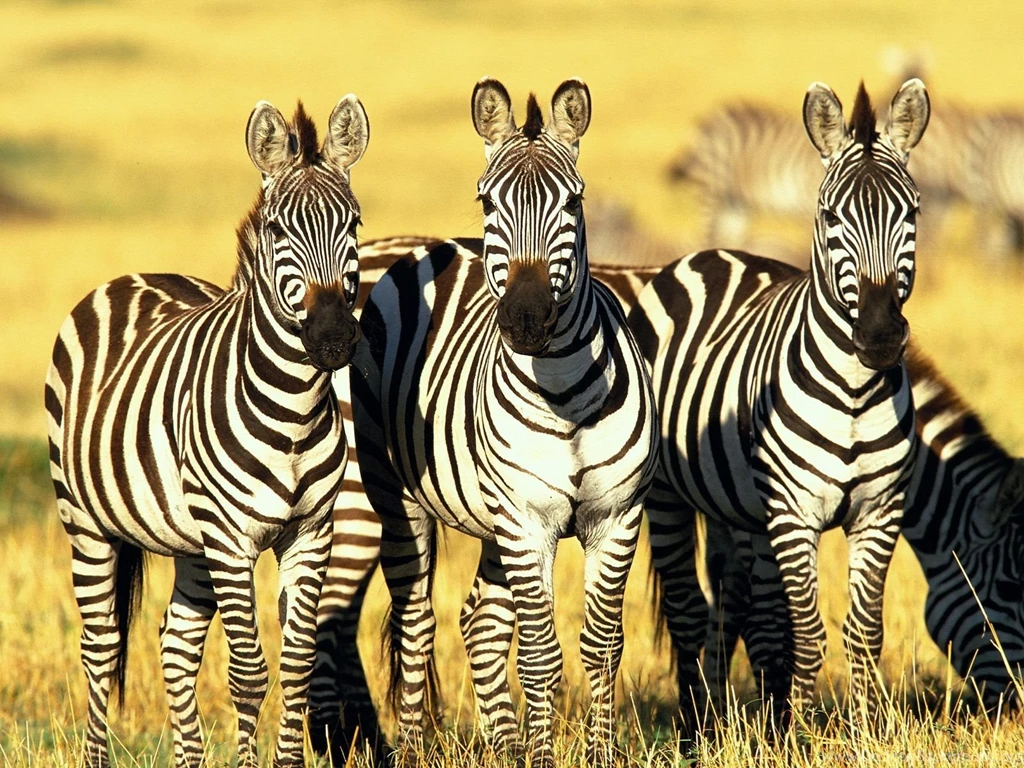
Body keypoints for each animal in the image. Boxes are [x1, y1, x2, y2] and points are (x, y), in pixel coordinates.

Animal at [44, 97, 369, 768]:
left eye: (354, 223)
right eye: (278, 232)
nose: (333, 340)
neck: (295, 411)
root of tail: (130, 277)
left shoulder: (310, 533)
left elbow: (296, 668)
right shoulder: (231, 537)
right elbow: (248, 673)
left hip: (189, 541)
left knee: (176, 643)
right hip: (86, 522)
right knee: (100, 646)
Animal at [348, 78, 658, 768]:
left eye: (573, 201)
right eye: (488, 202)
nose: (525, 319)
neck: (565, 394)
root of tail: (422, 247)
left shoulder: (615, 516)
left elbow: (602, 645)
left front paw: (594, 754)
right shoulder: (526, 519)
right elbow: (541, 653)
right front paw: (543, 758)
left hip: (494, 516)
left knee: (480, 622)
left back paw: (506, 746)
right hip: (398, 496)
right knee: (417, 621)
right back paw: (418, 748)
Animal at [629, 79, 930, 737]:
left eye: (912, 213)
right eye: (830, 215)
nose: (879, 336)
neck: (854, 393)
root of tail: (710, 254)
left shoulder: (880, 511)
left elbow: (863, 632)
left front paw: (863, 733)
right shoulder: (794, 514)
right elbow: (808, 635)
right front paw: (803, 736)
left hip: (735, 507)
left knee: (735, 604)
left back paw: (725, 720)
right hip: (665, 496)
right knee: (688, 610)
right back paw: (695, 729)